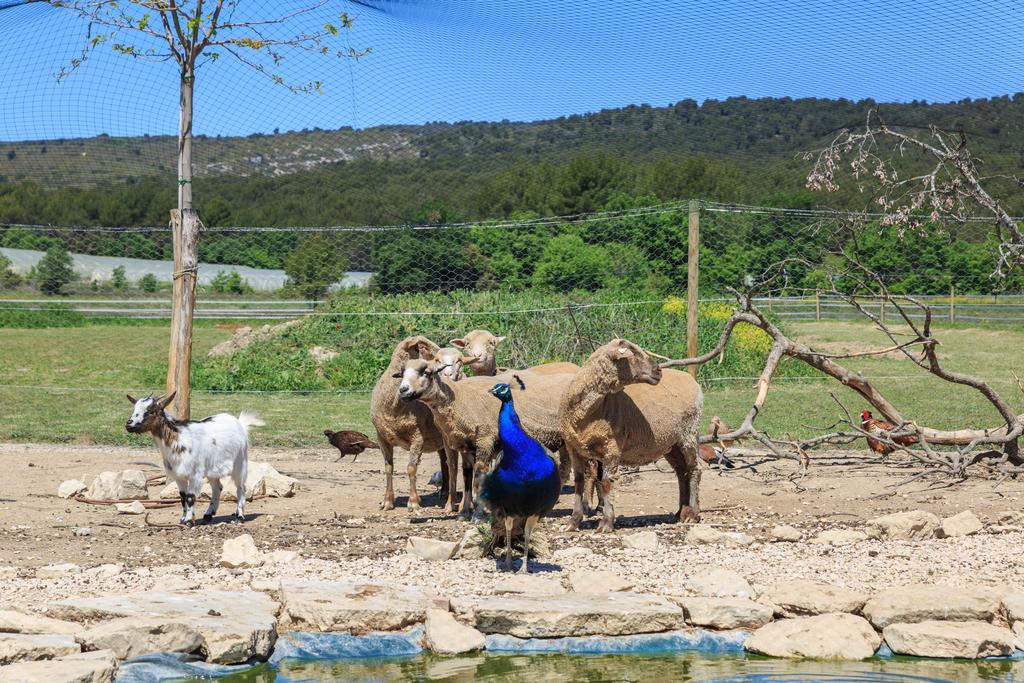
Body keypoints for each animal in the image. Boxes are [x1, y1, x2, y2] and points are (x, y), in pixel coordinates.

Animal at [124, 393, 264, 528]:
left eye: (150, 411)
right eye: (134, 409)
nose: (129, 424)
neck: (178, 439)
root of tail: (240, 423)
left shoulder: (195, 475)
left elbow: (190, 497)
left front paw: (188, 521)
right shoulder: (178, 476)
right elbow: (182, 497)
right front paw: (183, 519)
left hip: (240, 462)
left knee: (241, 487)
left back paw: (239, 516)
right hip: (212, 469)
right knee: (217, 487)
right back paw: (208, 515)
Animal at [561, 339, 704, 532]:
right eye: (634, 353)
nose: (658, 371)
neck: (587, 413)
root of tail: (692, 380)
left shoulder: (611, 446)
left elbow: (606, 482)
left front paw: (606, 522)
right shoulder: (573, 447)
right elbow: (578, 482)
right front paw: (573, 521)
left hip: (690, 433)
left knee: (695, 469)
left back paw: (693, 515)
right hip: (671, 443)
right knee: (682, 472)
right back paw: (681, 512)